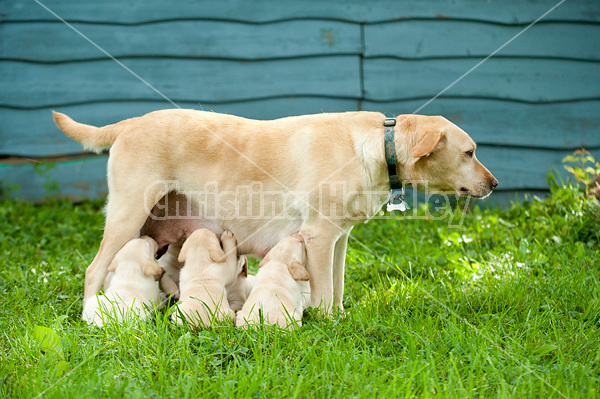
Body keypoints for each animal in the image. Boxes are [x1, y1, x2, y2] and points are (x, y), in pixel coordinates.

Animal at [52, 109, 496, 312]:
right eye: (470, 152)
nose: (494, 184)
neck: (377, 146)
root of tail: (131, 121)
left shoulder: (338, 240)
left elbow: (337, 286)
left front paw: (339, 318)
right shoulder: (319, 238)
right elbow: (323, 292)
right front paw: (326, 326)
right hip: (127, 217)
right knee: (94, 270)